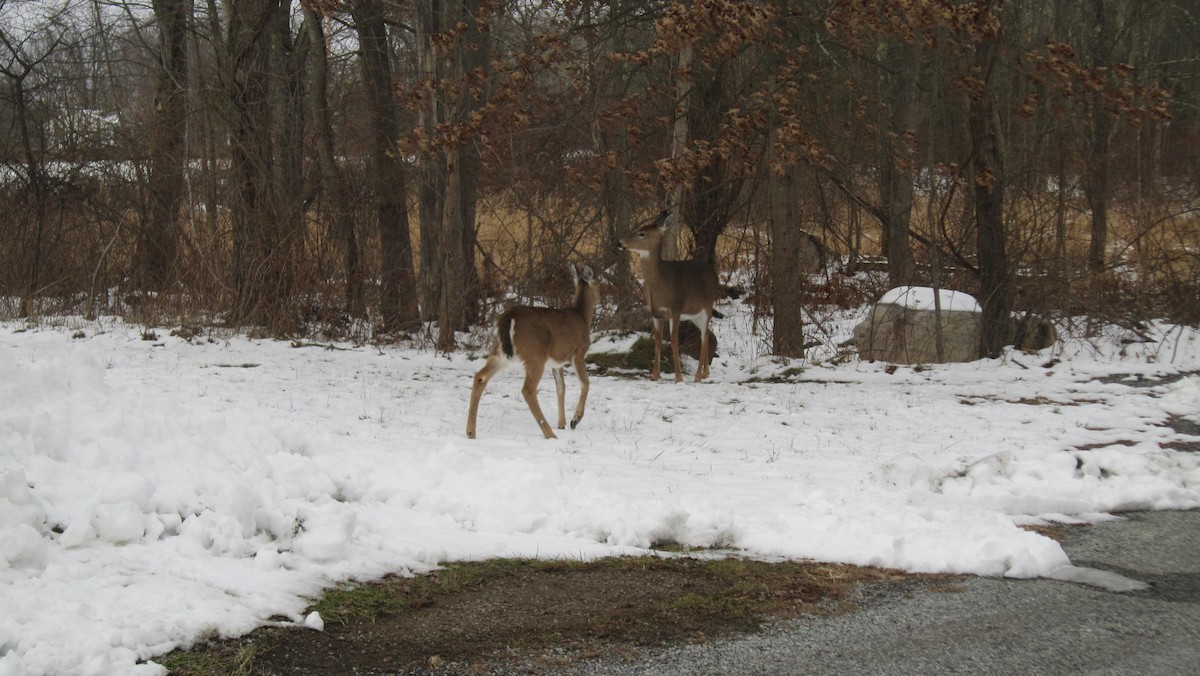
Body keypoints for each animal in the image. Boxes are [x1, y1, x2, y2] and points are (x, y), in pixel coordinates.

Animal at [466, 262, 600, 440]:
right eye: (599, 283)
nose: (600, 297)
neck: (583, 317)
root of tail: (509, 317)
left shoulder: (556, 362)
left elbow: (561, 388)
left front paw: (562, 423)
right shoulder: (578, 352)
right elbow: (585, 383)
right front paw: (574, 420)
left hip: (500, 352)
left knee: (480, 377)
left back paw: (470, 431)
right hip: (534, 355)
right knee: (528, 390)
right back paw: (550, 434)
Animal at [617, 211, 721, 383]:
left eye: (642, 233)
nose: (620, 243)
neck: (661, 283)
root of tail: (715, 274)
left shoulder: (675, 309)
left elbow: (673, 340)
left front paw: (678, 378)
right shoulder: (655, 313)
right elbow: (658, 340)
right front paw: (655, 375)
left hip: (707, 307)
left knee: (704, 337)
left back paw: (698, 376)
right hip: (694, 314)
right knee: (706, 334)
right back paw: (705, 373)